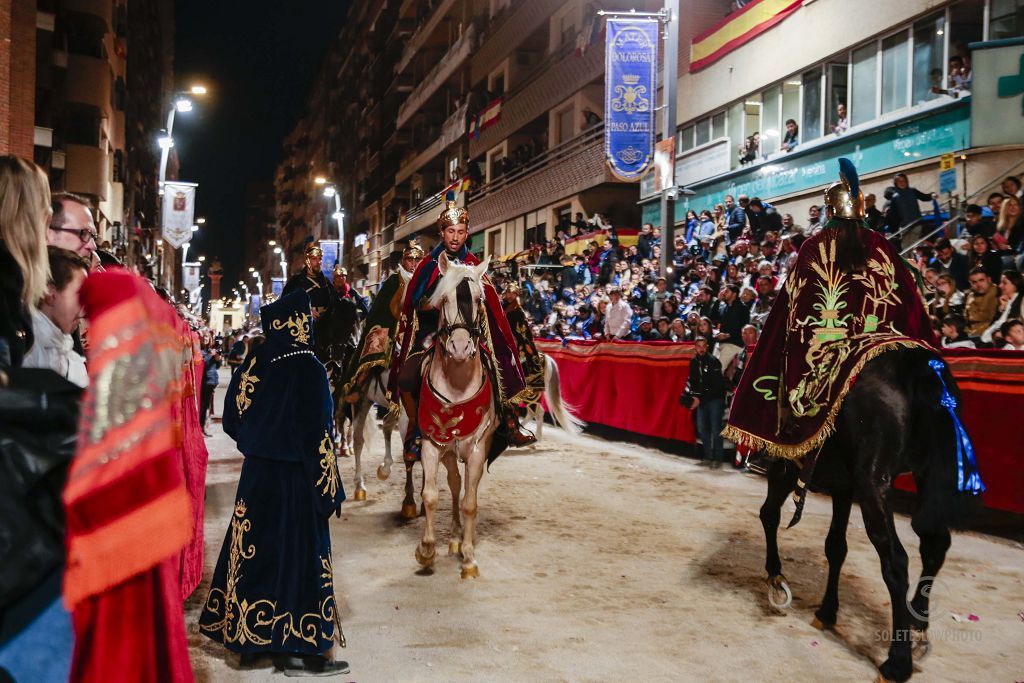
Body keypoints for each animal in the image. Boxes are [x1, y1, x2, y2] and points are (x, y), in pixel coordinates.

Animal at [765, 350, 978, 679]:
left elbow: (769, 515)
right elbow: (835, 547)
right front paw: (827, 610)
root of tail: (921, 366)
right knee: (934, 544)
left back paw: (898, 661)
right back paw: (918, 623)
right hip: (926, 474)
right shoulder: (843, 486)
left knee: (896, 562)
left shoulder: (787, 465)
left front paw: (776, 576)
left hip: (873, 484)